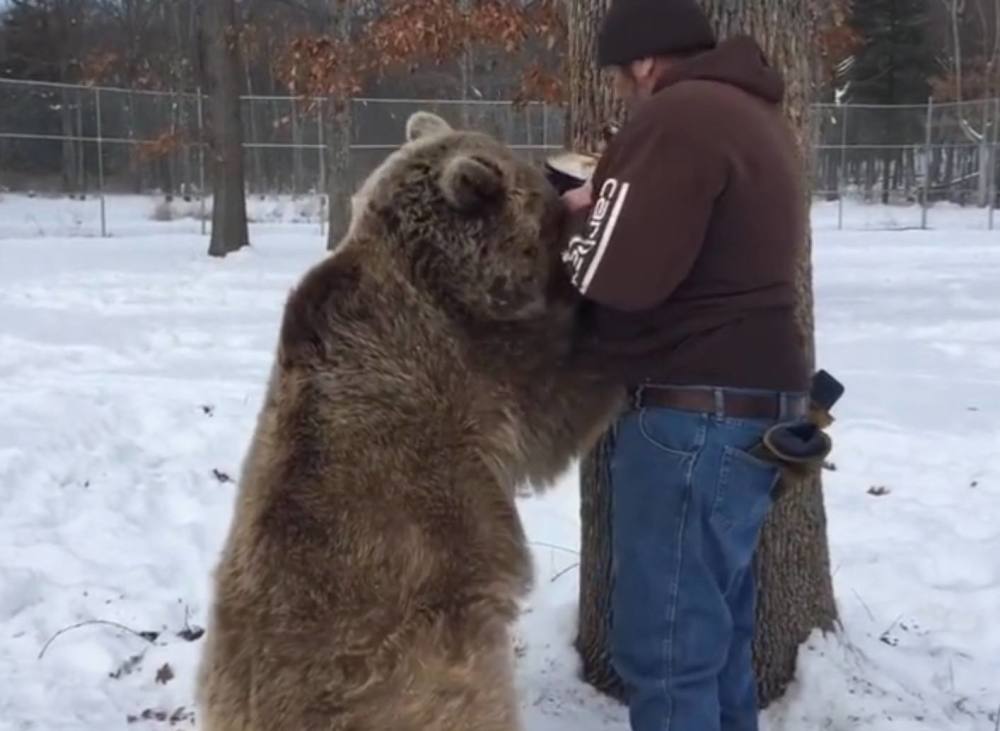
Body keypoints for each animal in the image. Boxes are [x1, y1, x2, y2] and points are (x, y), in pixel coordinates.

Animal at [191, 110, 620, 731]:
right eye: (543, 193)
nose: (561, 175)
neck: (439, 281)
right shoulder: (474, 368)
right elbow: (556, 402)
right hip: (422, 671)